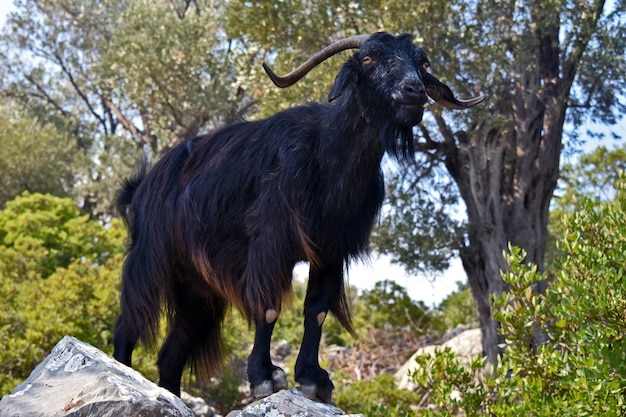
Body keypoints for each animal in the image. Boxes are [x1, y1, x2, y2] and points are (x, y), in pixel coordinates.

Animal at [112, 30, 482, 402]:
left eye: (422, 63)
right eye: (368, 58)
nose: (414, 91)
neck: (327, 153)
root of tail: (142, 186)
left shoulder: (331, 251)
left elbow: (316, 312)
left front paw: (312, 377)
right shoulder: (270, 242)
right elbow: (269, 306)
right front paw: (264, 376)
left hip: (197, 290)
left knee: (171, 354)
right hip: (150, 259)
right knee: (129, 321)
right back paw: (121, 371)